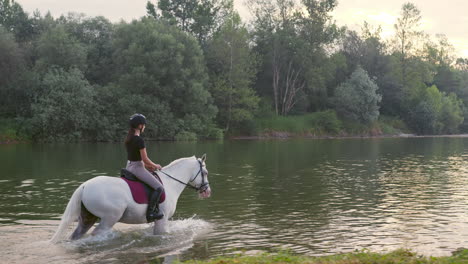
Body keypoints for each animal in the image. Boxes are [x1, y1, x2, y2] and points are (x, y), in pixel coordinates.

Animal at [50, 155, 210, 243]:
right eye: (205, 172)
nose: (207, 192)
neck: (170, 183)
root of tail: (84, 186)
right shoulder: (162, 219)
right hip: (110, 217)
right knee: (97, 233)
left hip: (87, 218)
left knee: (77, 235)